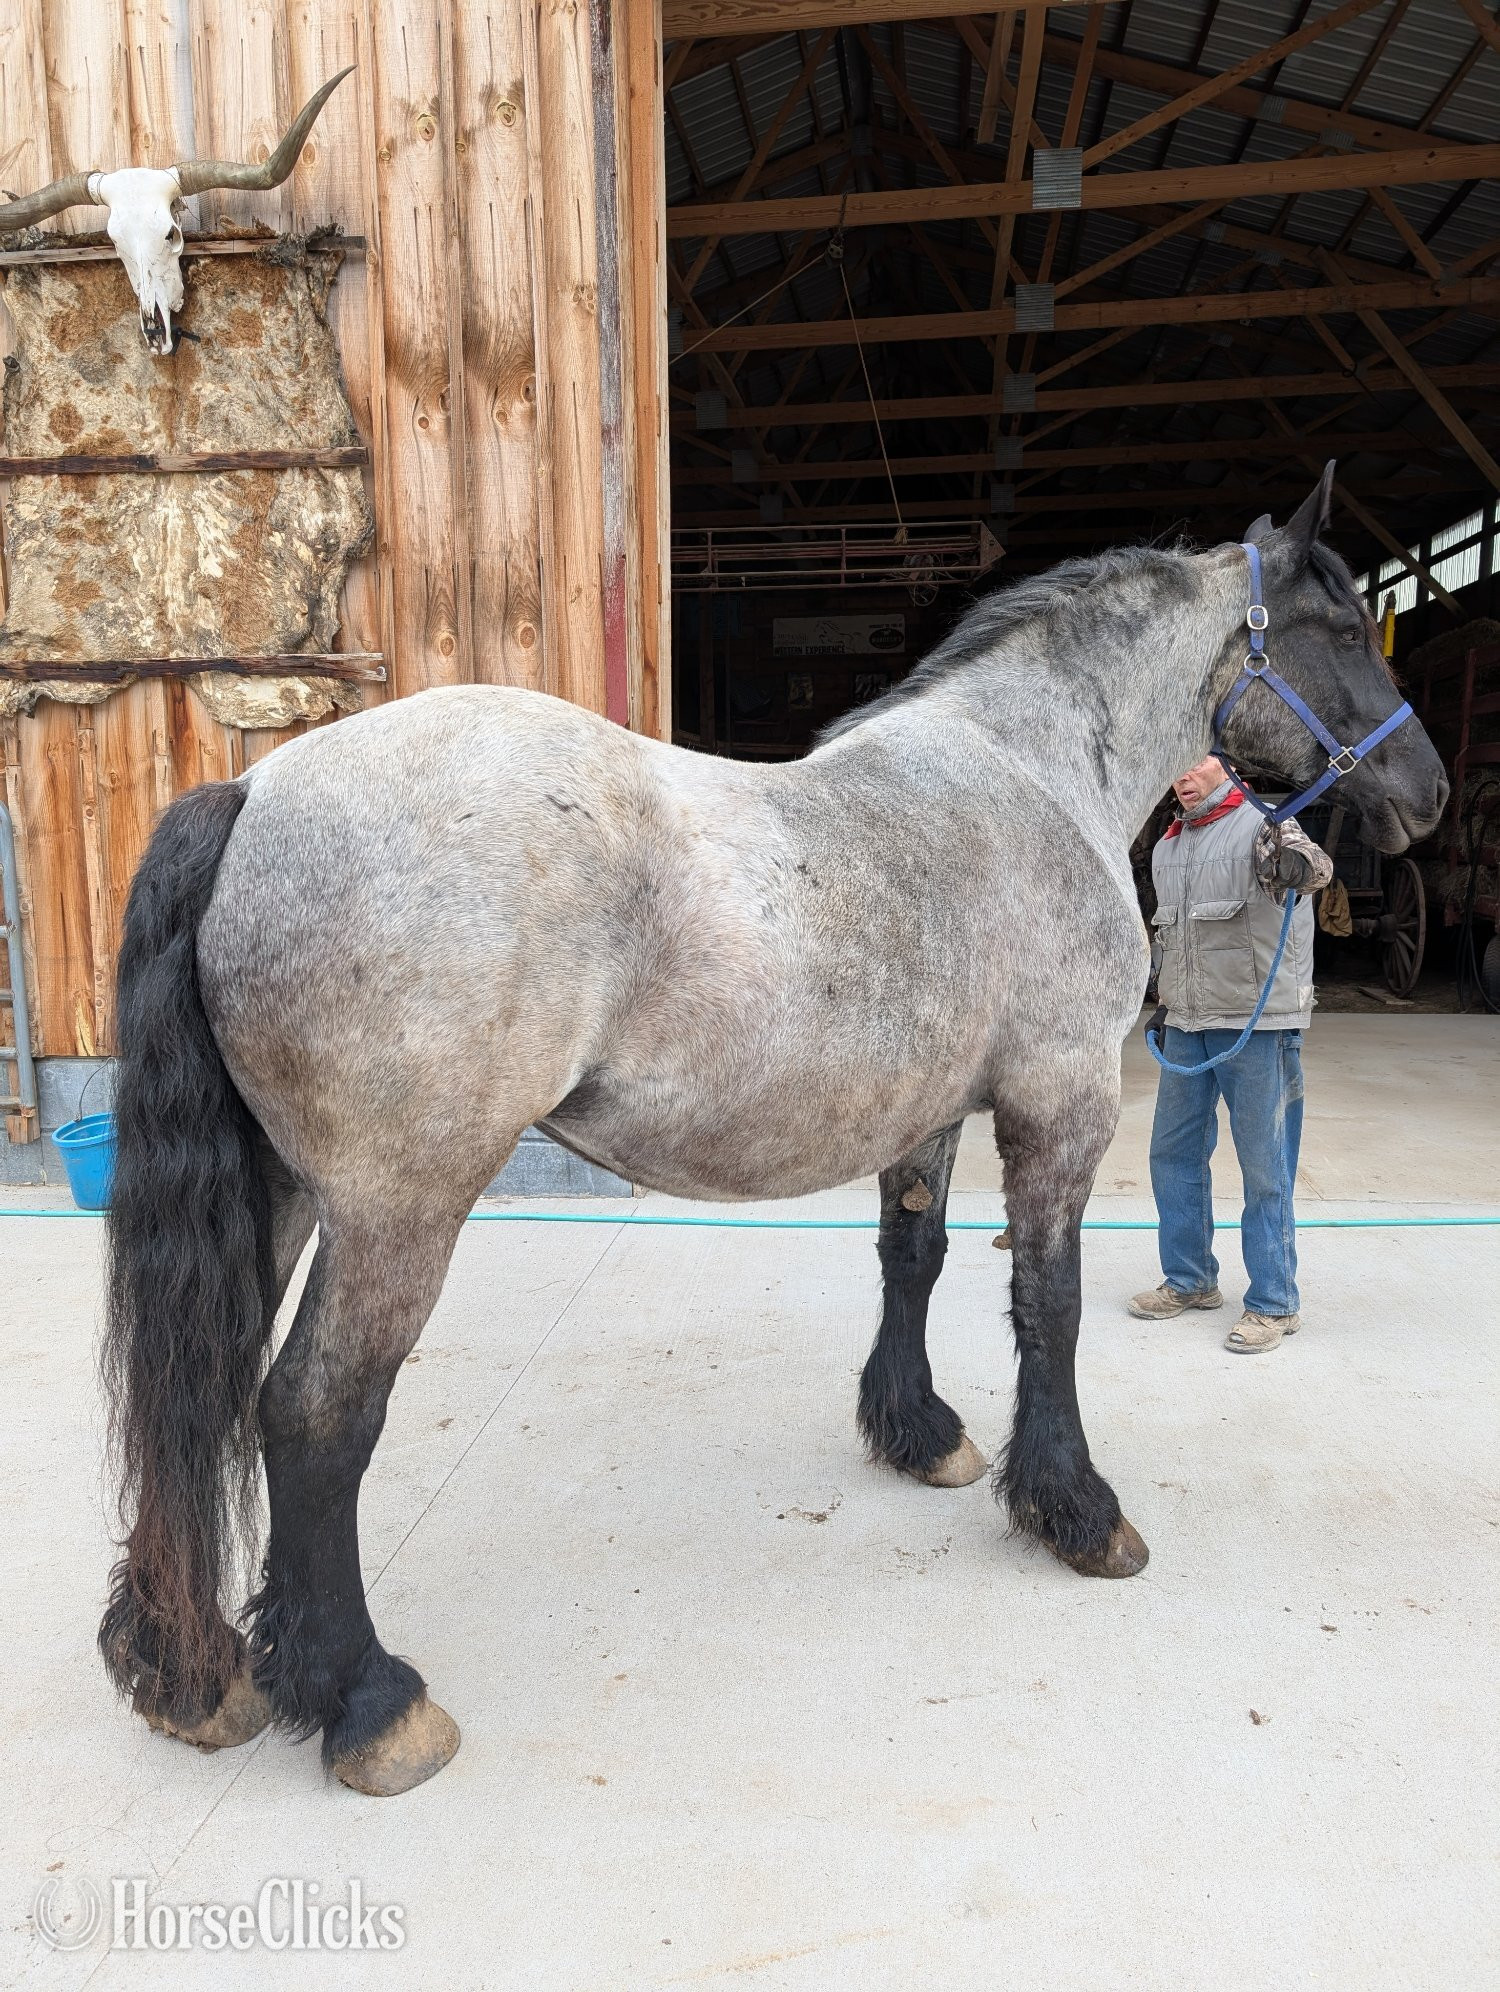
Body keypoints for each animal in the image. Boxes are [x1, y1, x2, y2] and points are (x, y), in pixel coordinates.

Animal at [97, 464, 1447, 1796]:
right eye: (1343, 627)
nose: (1428, 789)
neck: (1030, 775)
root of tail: (255, 789)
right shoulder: (1059, 1108)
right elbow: (1048, 1307)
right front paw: (1075, 1511)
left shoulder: (931, 1116)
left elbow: (915, 1260)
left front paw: (921, 1436)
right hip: (396, 1209)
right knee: (312, 1413)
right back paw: (368, 1701)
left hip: (278, 1190)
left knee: (202, 1390)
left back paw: (185, 1674)